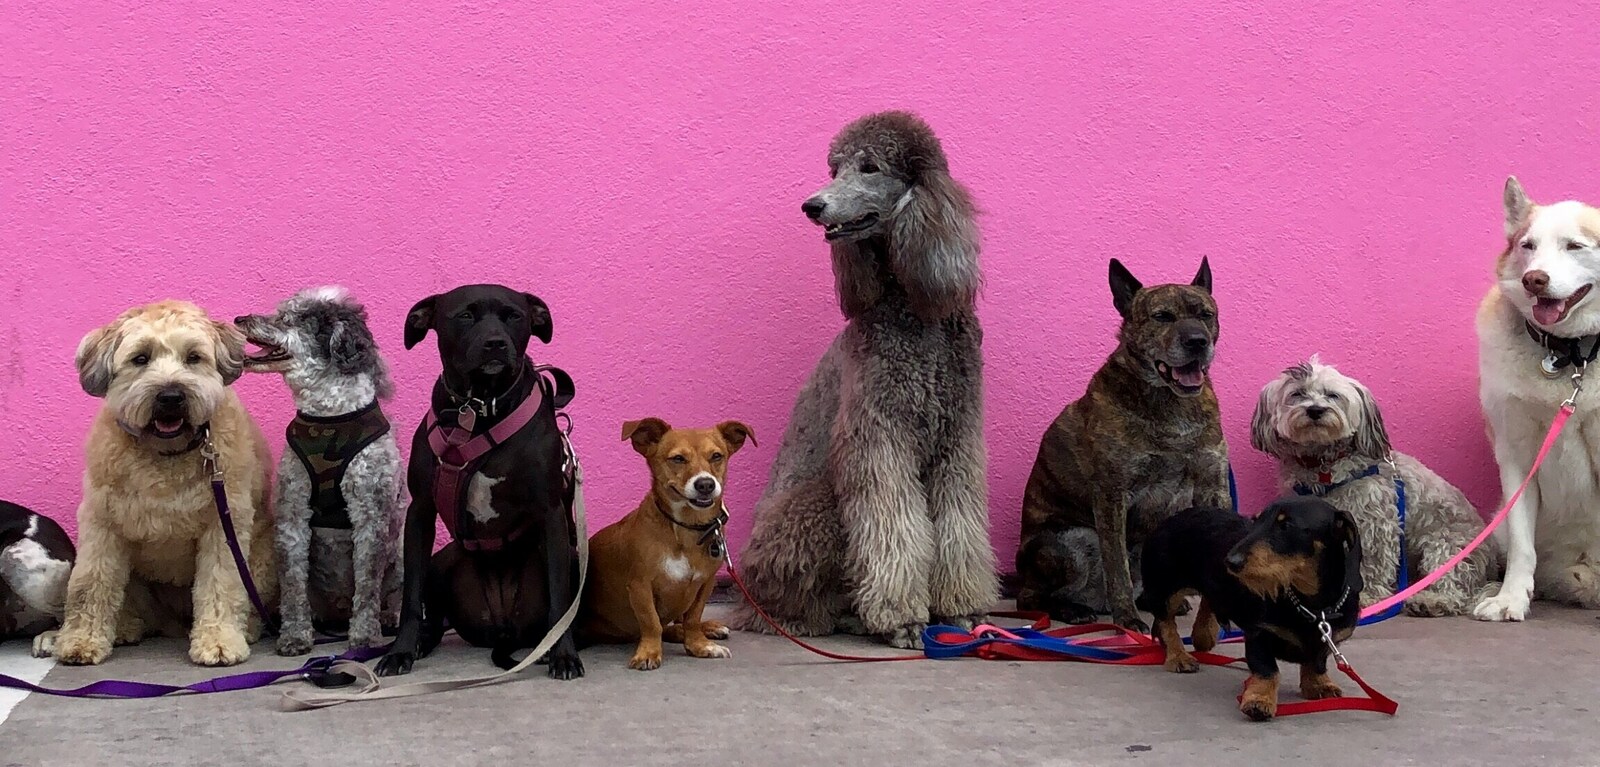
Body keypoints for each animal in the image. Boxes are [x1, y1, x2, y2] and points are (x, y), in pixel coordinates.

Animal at [48, 301, 275, 666]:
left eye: (194, 357)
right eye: (140, 358)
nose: (171, 396)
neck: (167, 454)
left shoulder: (223, 527)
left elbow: (221, 583)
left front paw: (219, 641)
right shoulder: (102, 525)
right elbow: (90, 583)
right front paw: (81, 640)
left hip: (263, 560)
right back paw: (125, 627)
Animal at [377, 283, 585, 678]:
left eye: (514, 316)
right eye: (465, 315)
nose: (495, 344)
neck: (480, 410)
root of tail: (502, 627)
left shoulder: (550, 513)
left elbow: (560, 599)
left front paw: (564, 655)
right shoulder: (420, 511)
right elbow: (411, 598)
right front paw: (400, 651)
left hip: (572, 554)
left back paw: (548, 649)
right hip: (442, 560)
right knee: (433, 616)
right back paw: (423, 642)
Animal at [582, 416, 755, 669]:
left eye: (716, 456)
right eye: (678, 459)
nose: (706, 484)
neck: (686, 528)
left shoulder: (706, 583)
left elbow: (693, 618)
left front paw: (700, 646)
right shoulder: (640, 586)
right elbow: (651, 622)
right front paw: (649, 652)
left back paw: (709, 628)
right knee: (665, 628)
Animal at [1017, 261, 1228, 634]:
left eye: (1205, 314)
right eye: (1162, 316)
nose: (1197, 342)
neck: (1170, 403)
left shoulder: (1211, 485)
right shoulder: (1112, 494)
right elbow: (1118, 569)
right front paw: (1127, 619)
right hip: (1072, 540)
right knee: (1033, 598)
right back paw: (1073, 609)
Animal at [1139, 496, 1363, 723]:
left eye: (1286, 525)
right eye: (1256, 521)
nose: (1230, 561)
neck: (1312, 607)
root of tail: (1172, 517)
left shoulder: (1329, 639)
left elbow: (1317, 662)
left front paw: (1319, 683)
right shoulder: (1259, 634)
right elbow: (1268, 670)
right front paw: (1259, 700)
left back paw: (1204, 634)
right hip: (1167, 587)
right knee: (1164, 621)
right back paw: (1178, 656)